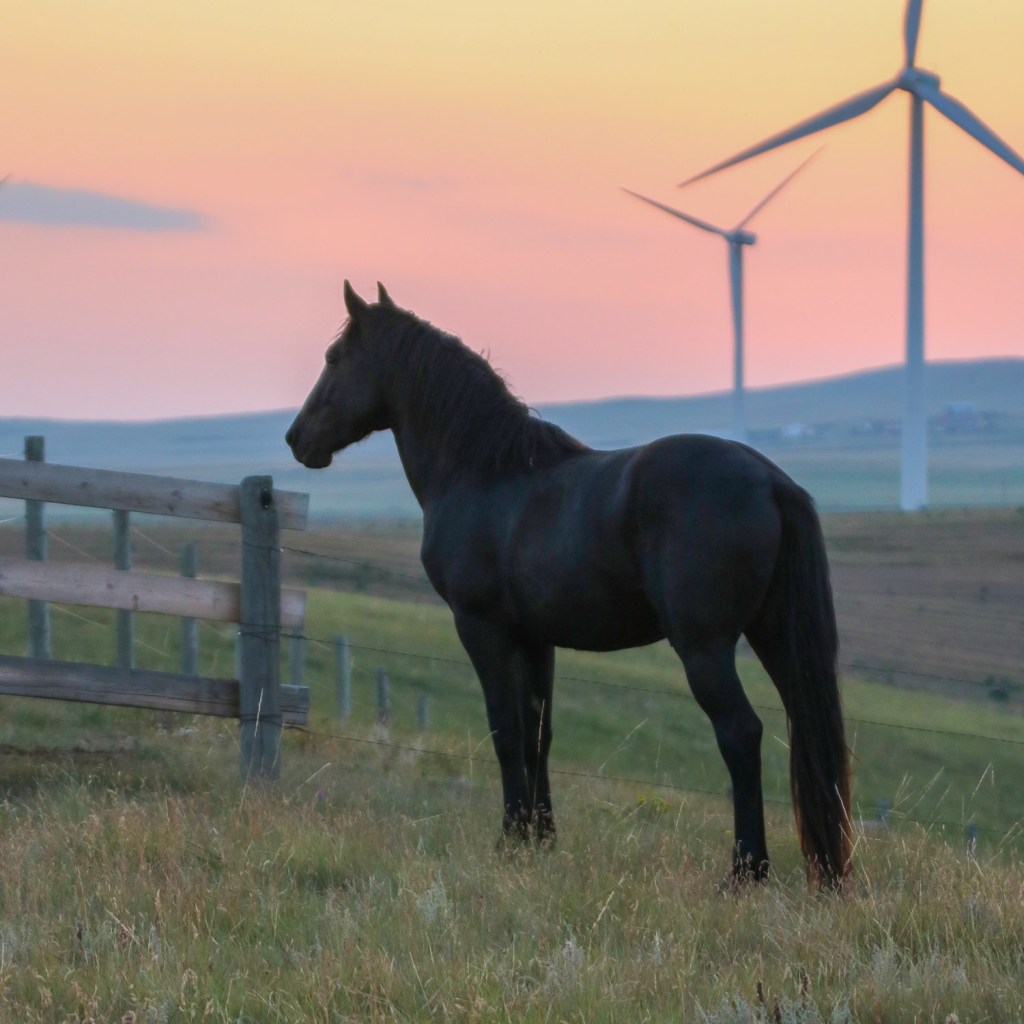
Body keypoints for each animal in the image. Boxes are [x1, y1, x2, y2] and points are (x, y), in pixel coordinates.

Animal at [286, 281, 852, 888]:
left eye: (335, 358)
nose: (296, 438)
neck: (486, 473)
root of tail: (771, 482)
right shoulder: (537, 639)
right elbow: (539, 732)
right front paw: (541, 838)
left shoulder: (481, 628)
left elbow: (506, 731)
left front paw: (509, 840)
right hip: (773, 635)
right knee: (806, 731)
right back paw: (824, 871)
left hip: (704, 647)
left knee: (741, 735)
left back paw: (746, 872)